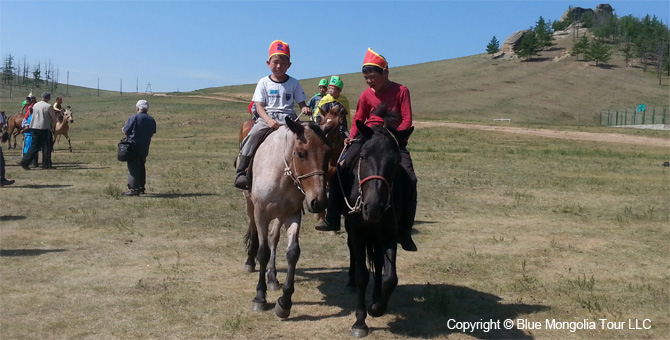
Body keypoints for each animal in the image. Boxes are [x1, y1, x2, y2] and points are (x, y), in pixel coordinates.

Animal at [243, 117, 334, 318]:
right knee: (254, 232)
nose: (319, 202)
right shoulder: (261, 213)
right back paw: (250, 262)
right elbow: (263, 252)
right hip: (250, 205)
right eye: (301, 154)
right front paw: (260, 297)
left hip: (280, 214)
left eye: (328, 153)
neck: (280, 173)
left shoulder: (292, 214)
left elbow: (292, 253)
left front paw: (284, 302)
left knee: (273, 238)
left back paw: (272, 277)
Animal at [342, 109, 414, 338]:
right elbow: (362, 275)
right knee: (353, 253)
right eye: (363, 156)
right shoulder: (358, 232)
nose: (373, 208)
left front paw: (376, 307)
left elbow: (390, 277)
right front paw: (360, 322)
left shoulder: (389, 232)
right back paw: (349, 282)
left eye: (396, 161)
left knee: (379, 261)